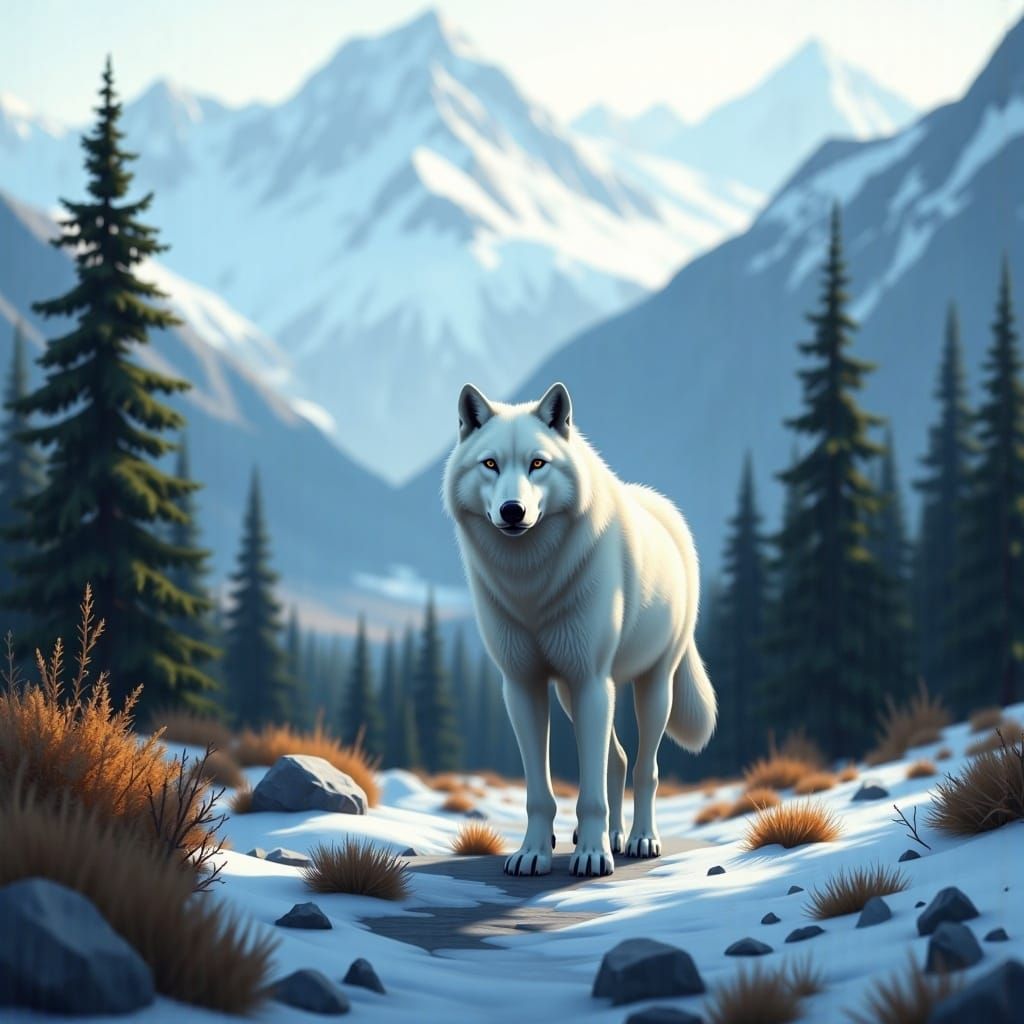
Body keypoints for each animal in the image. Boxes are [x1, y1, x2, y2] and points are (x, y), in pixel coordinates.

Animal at [443, 381, 717, 877]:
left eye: (537, 463)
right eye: (490, 464)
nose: (513, 511)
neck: (531, 585)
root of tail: (664, 507)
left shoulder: (591, 679)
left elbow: (590, 793)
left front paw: (592, 856)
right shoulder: (524, 685)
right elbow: (540, 792)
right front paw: (533, 852)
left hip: (648, 687)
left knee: (645, 768)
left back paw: (641, 839)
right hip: (575, 695)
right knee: (618, 759)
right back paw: (615, 835)